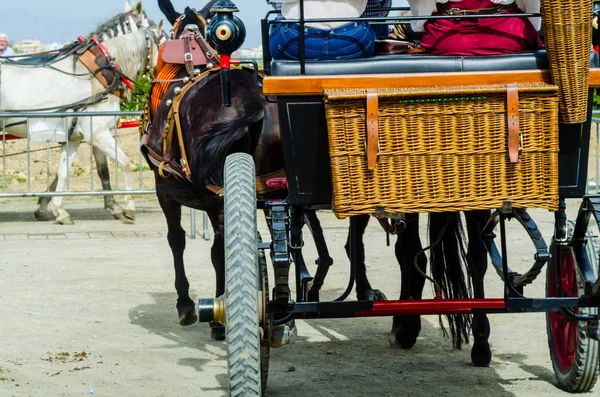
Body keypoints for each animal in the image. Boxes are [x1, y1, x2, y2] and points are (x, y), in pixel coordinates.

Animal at [0, 0, 164, 223]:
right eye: (164, 39)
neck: (96, 73)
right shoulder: (97, 133)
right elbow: (124, 163)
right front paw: (128, 206)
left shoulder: (75, 137)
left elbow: (67, 171)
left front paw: (57, 209)